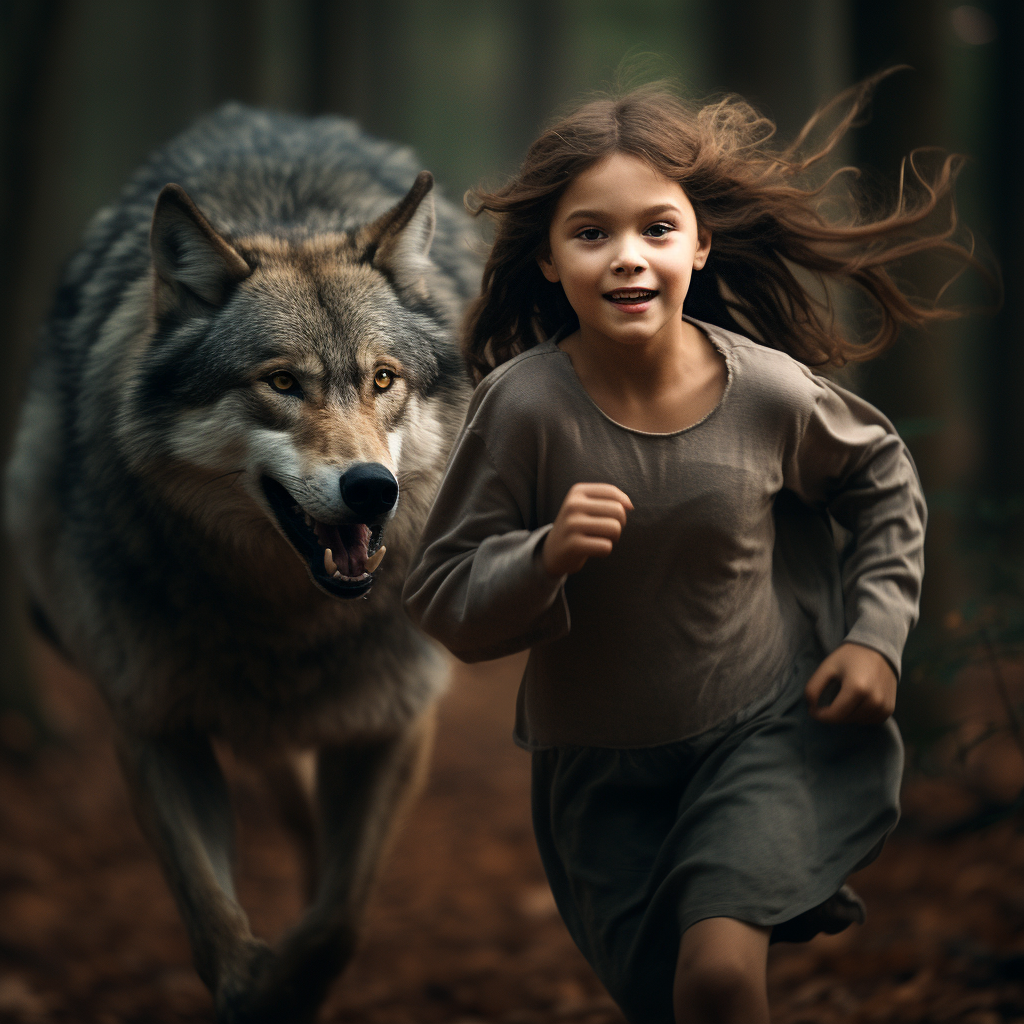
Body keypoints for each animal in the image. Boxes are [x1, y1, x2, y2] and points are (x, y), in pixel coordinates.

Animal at [4, 105, 475, 1024]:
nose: (373, 490)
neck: (287, 620)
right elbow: (212, 920)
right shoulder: (153, 727)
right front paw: (255, 988)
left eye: (384, 380)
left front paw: (296, 976)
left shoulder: (398, 724)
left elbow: (339, 921)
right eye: (283, 382)